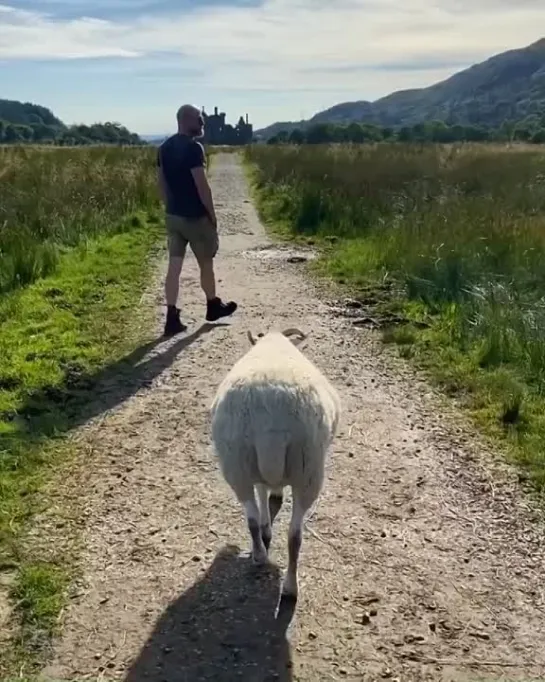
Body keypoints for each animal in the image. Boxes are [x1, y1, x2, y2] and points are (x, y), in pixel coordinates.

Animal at [209, 326, 340, 596]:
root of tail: (270, 412)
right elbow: (265, 492)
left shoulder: (253, 470)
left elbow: (262, 492)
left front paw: (267, 526)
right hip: (308, 469)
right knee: (295, 535)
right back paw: (290, 587)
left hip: (236, 464)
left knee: (251, 520)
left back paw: (259, 556)